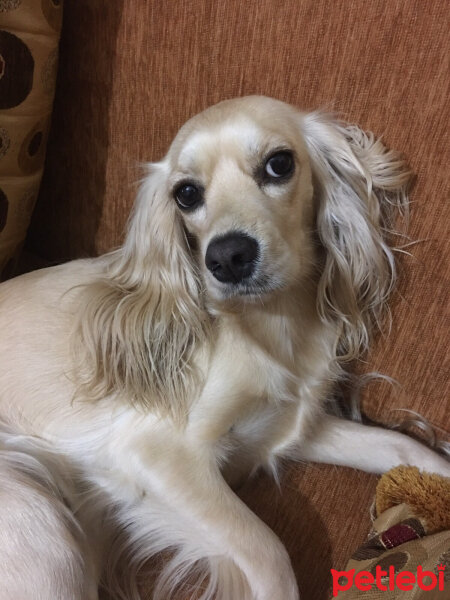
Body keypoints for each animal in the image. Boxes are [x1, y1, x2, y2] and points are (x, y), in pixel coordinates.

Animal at [0, 96, 450, 596]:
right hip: (43, 527)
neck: (272, 325)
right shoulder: (157, 454)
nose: (228, 258)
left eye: (279, 164)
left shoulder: (287, 427)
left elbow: (403, 448)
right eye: (186, 193)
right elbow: (270, 552)